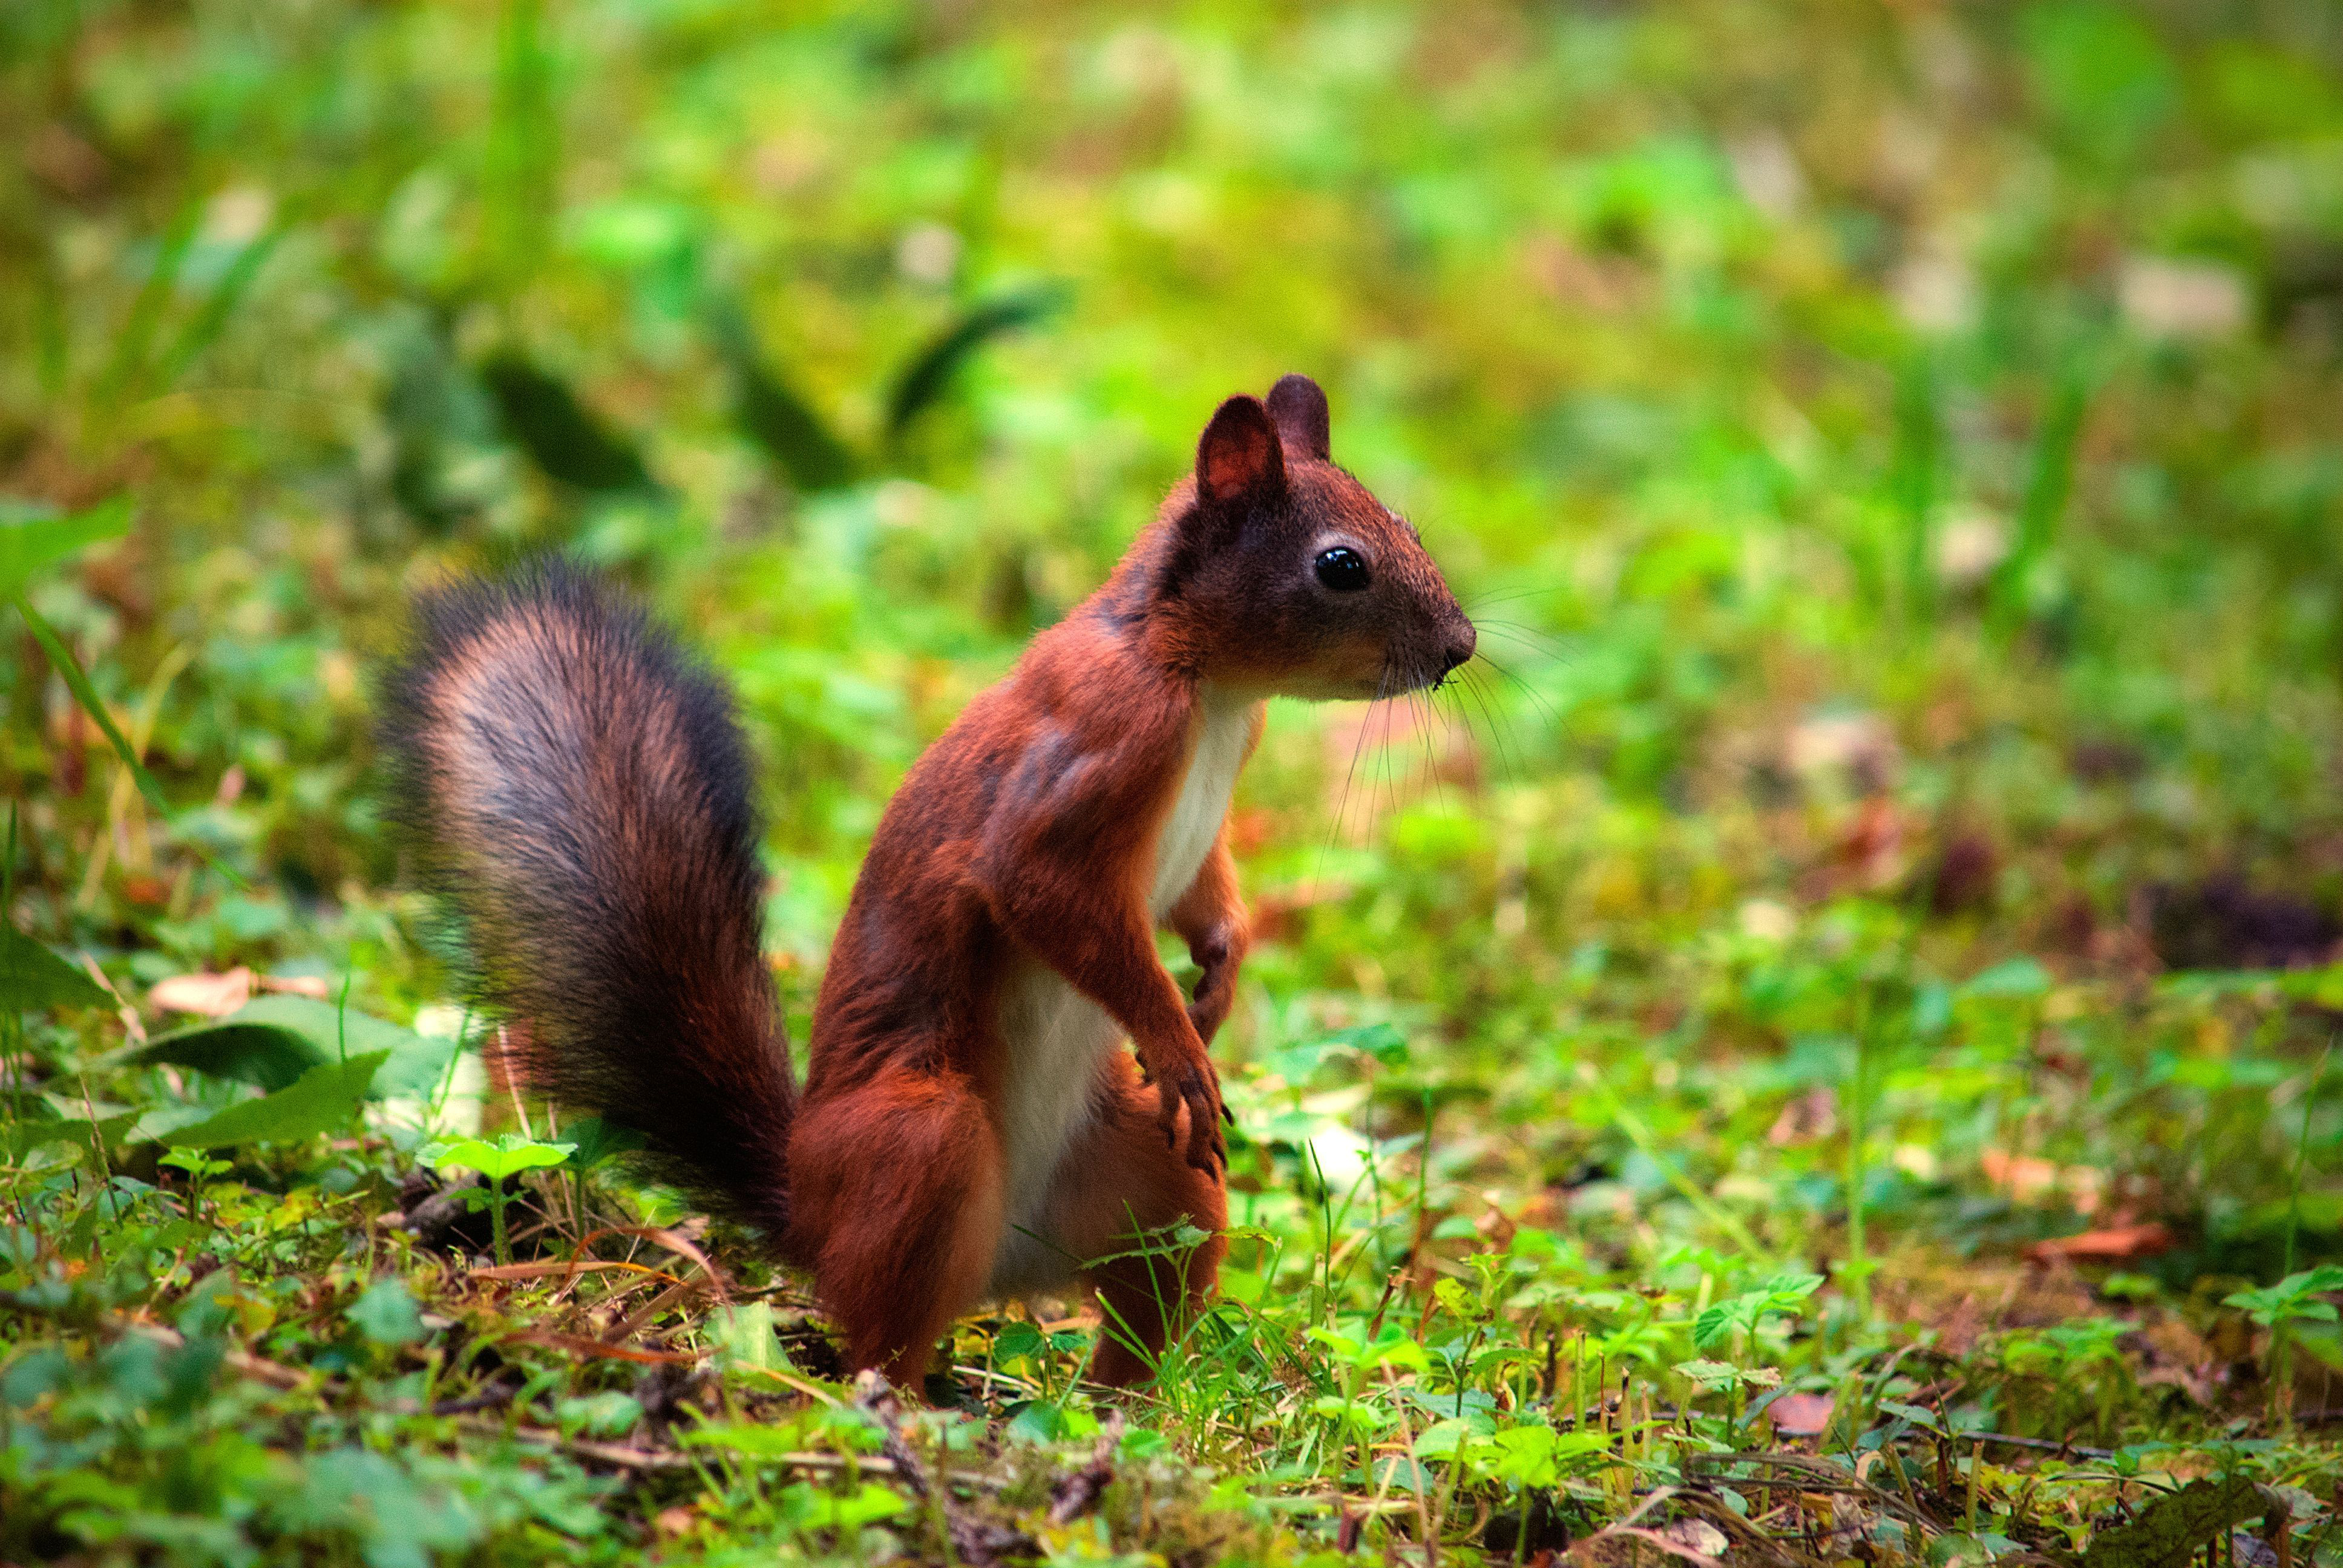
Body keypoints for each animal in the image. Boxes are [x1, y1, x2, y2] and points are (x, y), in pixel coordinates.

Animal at [391, 374, 1471, 1378]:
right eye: (1341, 565)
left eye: (1409, 525)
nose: (1461, 648)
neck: (1204, 685)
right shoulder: (1091, 758)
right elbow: (1044, 892)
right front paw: (1174, 1037)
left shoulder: (1201, 822)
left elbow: (1205, 891)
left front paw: (1221, 975)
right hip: (923, 1143)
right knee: (883, 1342)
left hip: (1163, 1185)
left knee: (1142, 1306)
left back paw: (1123, 1417)